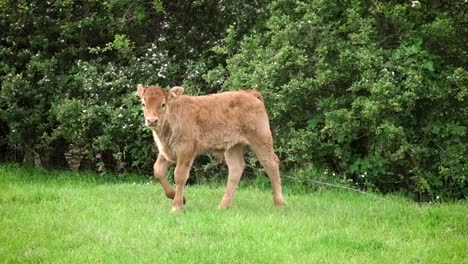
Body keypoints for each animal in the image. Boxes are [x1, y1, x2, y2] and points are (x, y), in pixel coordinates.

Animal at [137, 84, 284, 212]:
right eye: (143, 104)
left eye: (163, 104)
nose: (152, 120)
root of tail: (249, 93)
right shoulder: (166, 151)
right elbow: (158, 170)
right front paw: (181, 199)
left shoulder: (186, 150)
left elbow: (179, 175)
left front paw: (176, 207)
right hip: (233, 146)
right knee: (236, 168)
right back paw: (223, 206)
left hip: (261, 139)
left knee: (270, 163)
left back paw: (279, 203)